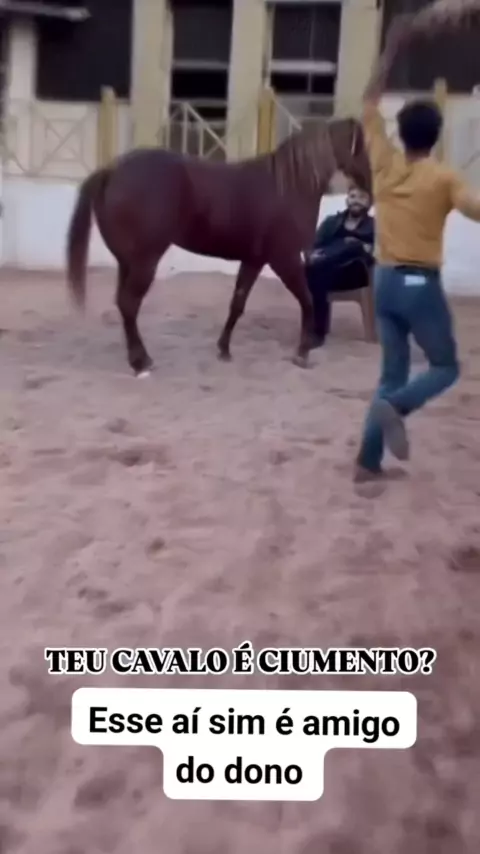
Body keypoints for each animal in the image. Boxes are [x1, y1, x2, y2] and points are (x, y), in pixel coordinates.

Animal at [66, 117, 371, 376]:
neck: (289, 186)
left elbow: (237, 303)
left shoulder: (255, 260)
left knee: (124, 304)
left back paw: (139, 358)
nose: (369, 186)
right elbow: (306, 300)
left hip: (127, 261)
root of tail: (110, 171)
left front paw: (224, 350)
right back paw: (141, 363)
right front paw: (302, 353)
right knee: (129, 303)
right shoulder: (284, 259)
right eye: (362, 146)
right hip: (145, 260)